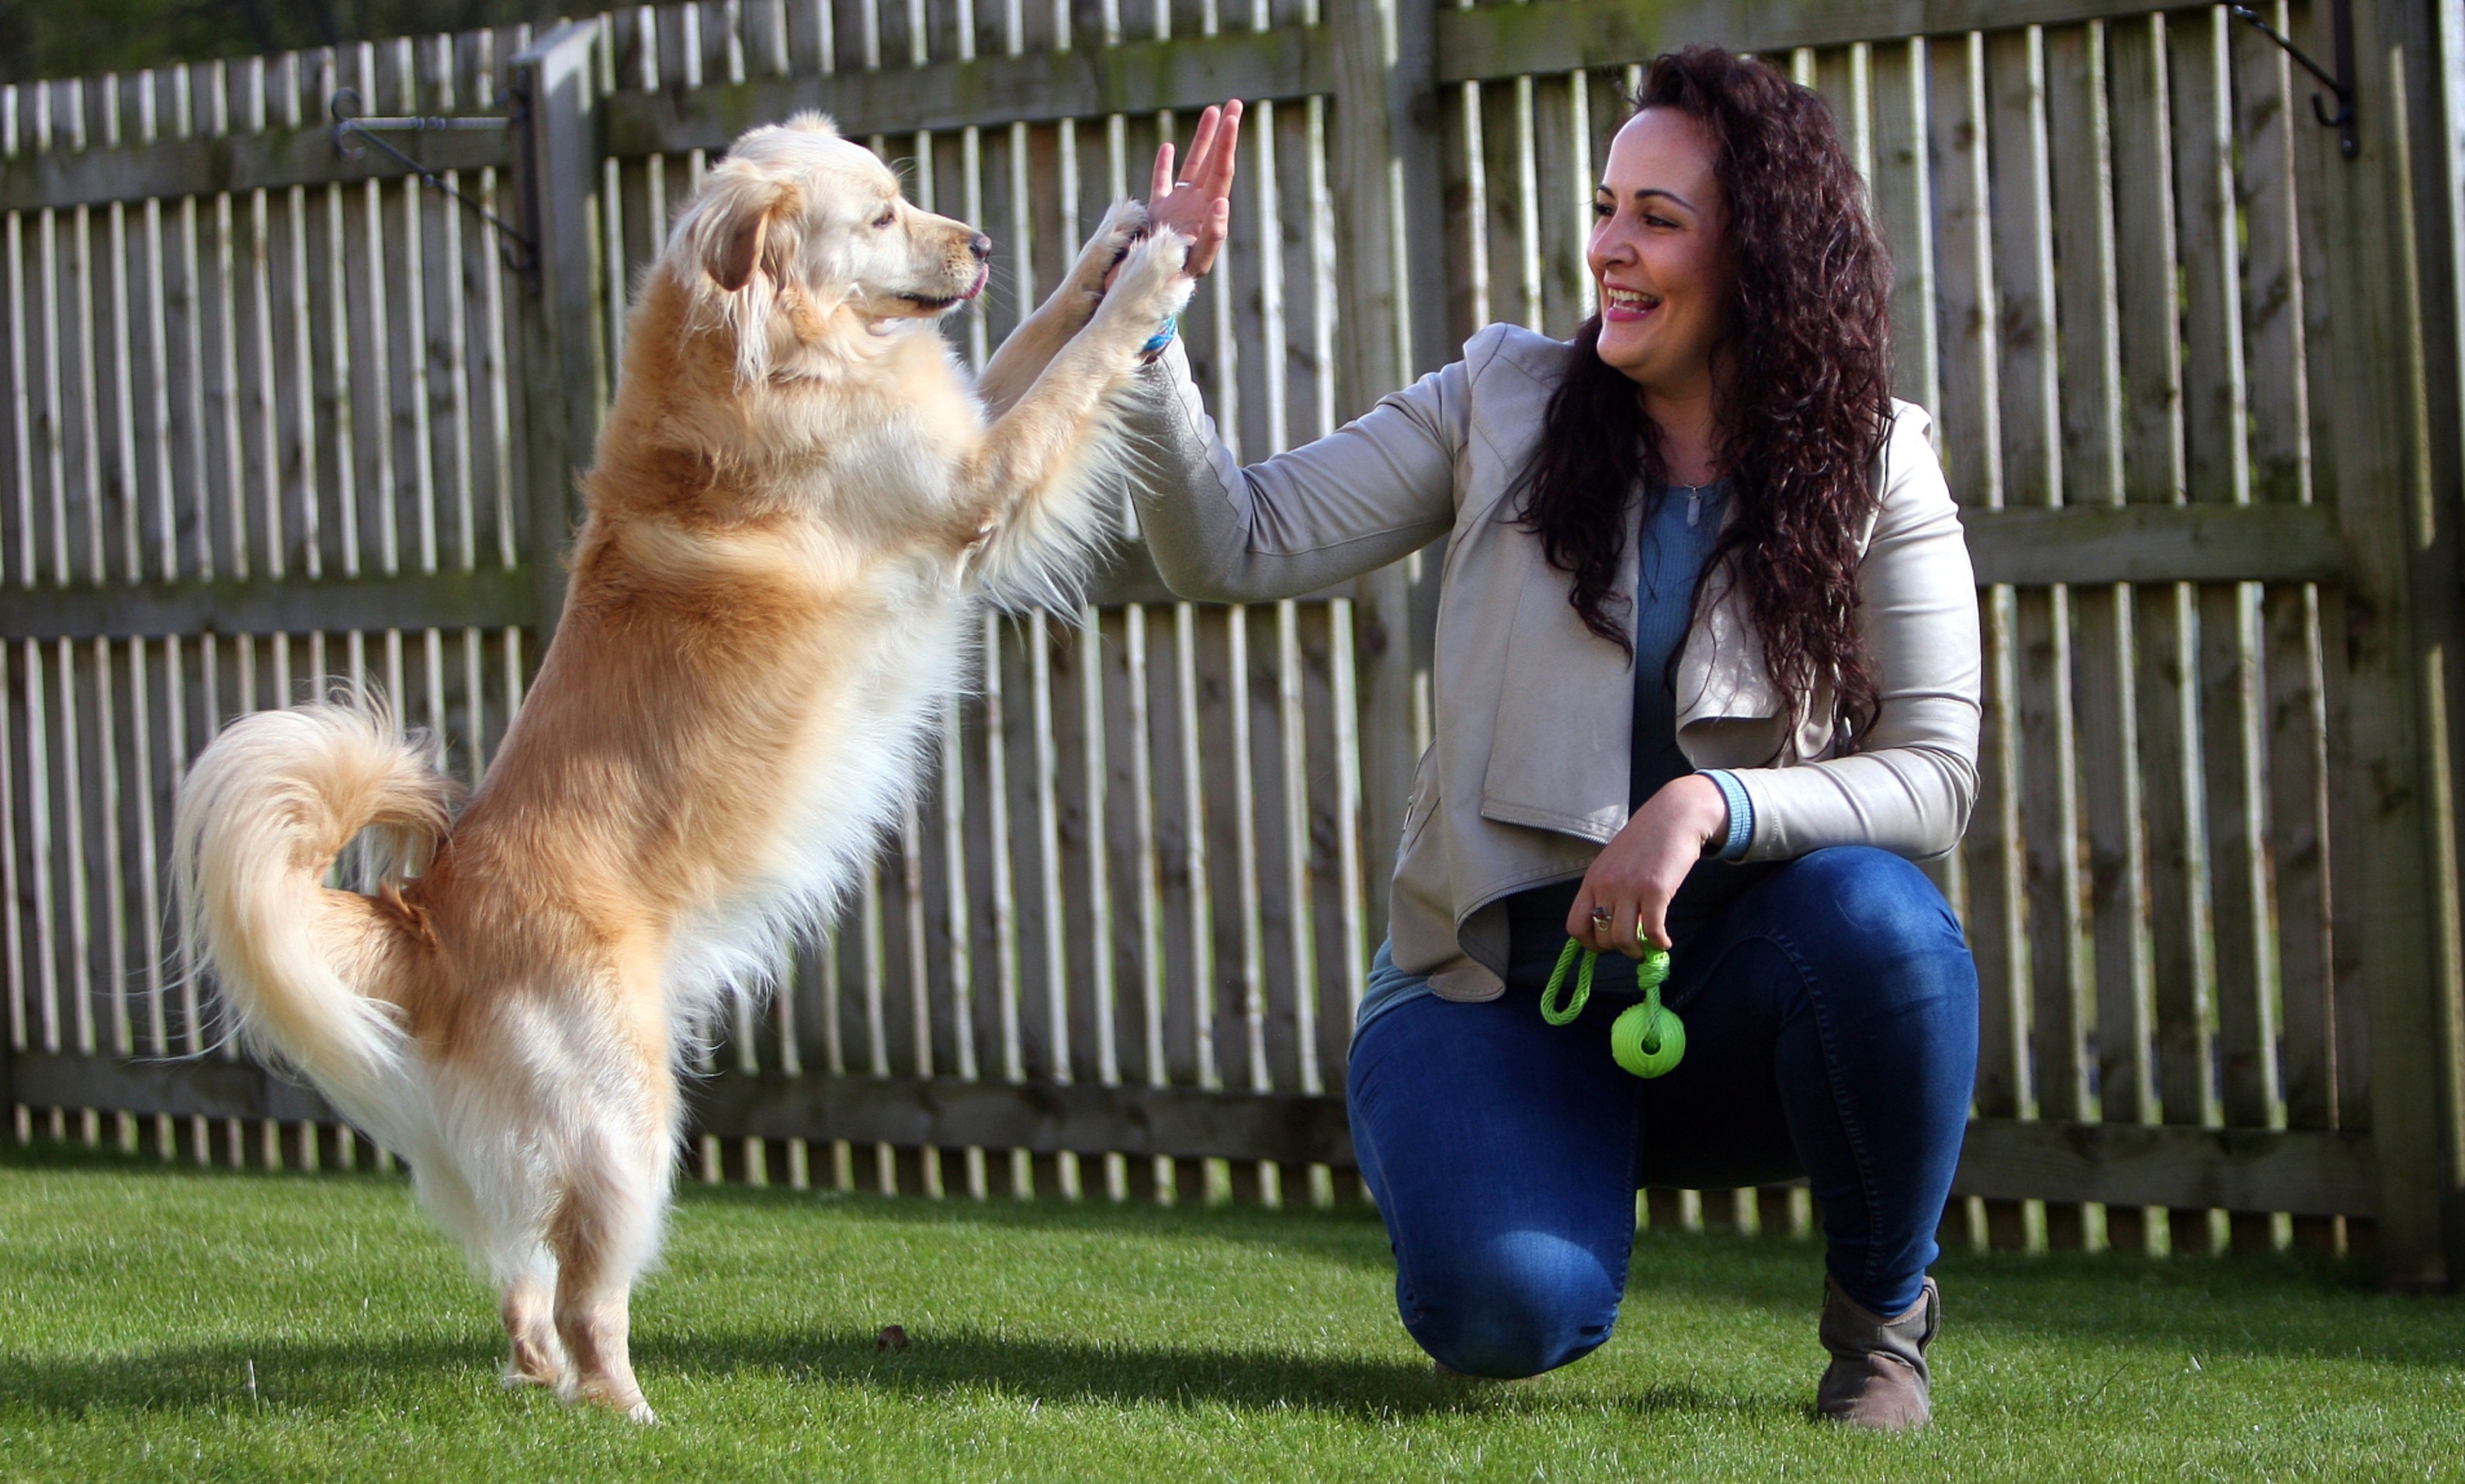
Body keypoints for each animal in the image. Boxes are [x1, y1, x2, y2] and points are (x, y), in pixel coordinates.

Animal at [173, 113, 1193, 1409]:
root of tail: (423, 914)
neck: (769, 350)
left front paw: (1113, 239)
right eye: (879, 217)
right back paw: (634, 1415)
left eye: (907, 200)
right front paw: (1153, 274)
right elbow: (1072, 372)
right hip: (628, 1127)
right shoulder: (974, 482)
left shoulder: (964, 427)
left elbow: (1035, 340)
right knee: (587, 1297)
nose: (980, 242)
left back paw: (543, 1382)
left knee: (522, 1285)